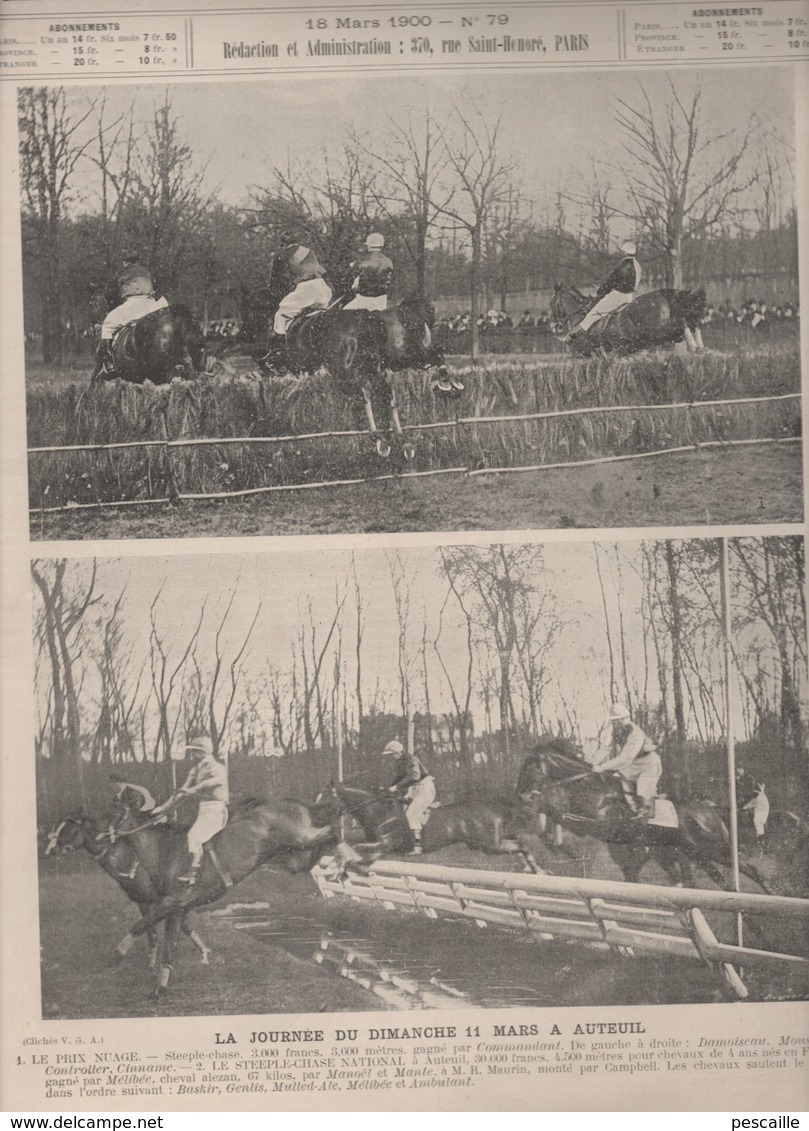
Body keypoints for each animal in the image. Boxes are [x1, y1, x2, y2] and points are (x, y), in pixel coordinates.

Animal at [110, 800, 355, 995]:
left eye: (112, 814)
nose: (102, 839)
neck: (164, 851)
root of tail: (300, 805)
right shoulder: (178, 908)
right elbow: (169, 945)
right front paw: (160, 986)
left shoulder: (173, 900)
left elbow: (140, 924)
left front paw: (116, 955)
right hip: (296, 858)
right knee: (321, 844)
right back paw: (342, 863)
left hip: (300, 838)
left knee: (330, 830)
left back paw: (347, 856)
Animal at [312, 782, 540, 868]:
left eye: (324, 802)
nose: (313, 824)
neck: (378, 811)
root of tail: (489, 803)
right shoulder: (380, 848)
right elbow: (361, 855)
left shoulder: (386, 844)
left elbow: (358, 848)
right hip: (484, 843)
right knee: (517, 840)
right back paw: (532, 867)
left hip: (489, 845)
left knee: (520, 845)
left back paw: (537, 869)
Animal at [515, 737, 773, 895]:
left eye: (533, 767)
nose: (520, 794)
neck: (591, 787)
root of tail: (711, 812)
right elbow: (552, 815)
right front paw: (553, 846)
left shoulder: (597, 823)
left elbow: (563, 816)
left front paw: (567, 850)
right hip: (700, 855)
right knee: (728, 881)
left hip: (715, 849)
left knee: (749, 871)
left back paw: (772, 894)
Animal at [549, 281, 710, 352]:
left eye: (552, 303)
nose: (552, 326)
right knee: (689, 325)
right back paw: (699, 345)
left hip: (659, 331)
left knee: (682, 325)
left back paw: (695, 345)